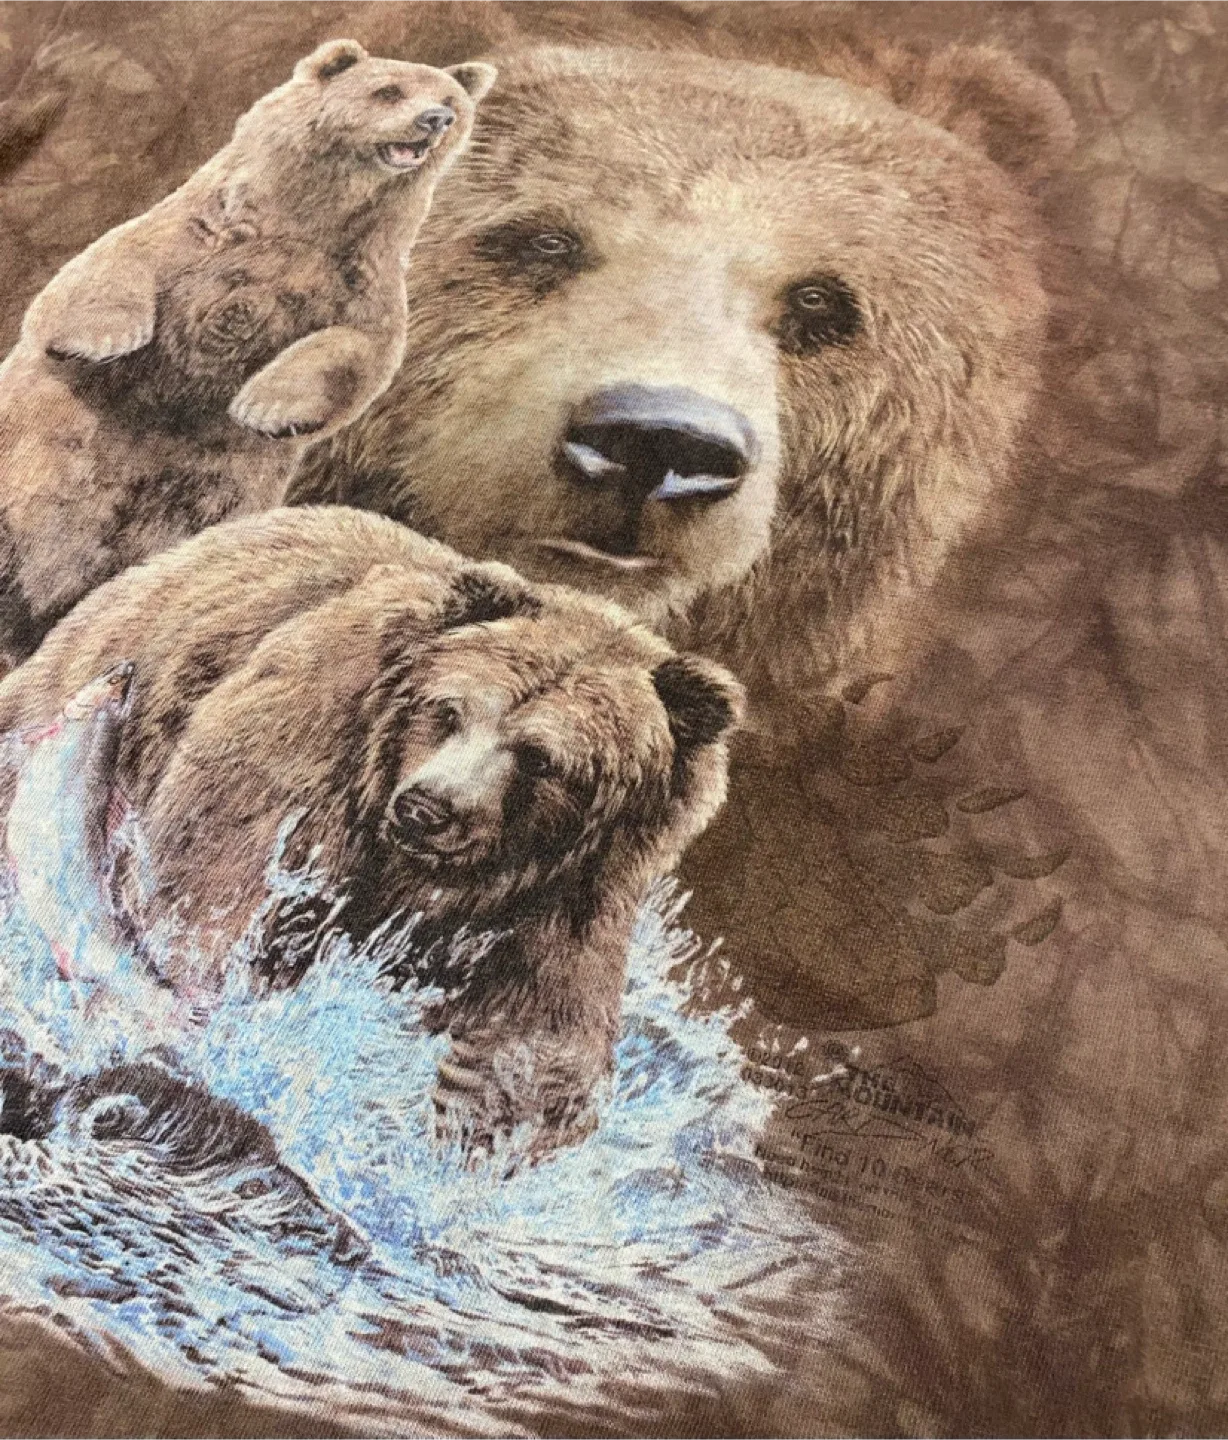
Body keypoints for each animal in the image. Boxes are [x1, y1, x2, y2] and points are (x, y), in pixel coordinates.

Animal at [0, 38, 496, 666]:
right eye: (389, 90)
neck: (308, 216)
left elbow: (358, 349)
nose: (435, 121)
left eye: (452, 102)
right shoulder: (196, 234)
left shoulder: (358, 277)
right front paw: (101, 339)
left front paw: (263, 405)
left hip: (204, 496)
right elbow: (104, 268)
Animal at [0, 506, 743, 1154]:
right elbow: (211, 905)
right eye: (449, 710)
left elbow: (529, 1043)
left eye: (541, 758)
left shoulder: (572, 893)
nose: (428, 807)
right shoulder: (304, 767)